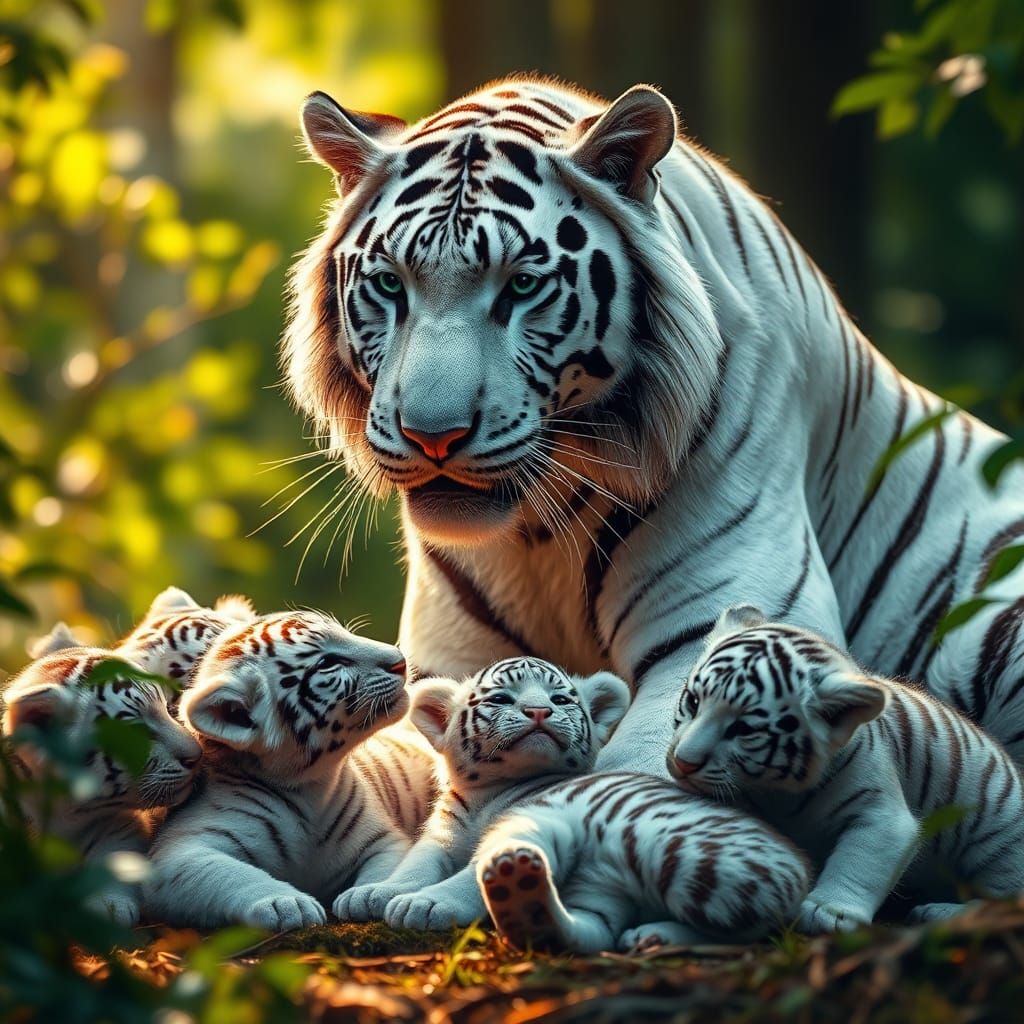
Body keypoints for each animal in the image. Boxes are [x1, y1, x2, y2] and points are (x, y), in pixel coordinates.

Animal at [2, 625, 202, 925]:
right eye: (136, 733)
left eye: (167, 708)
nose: (198, 755)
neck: (61, 809)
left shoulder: (118, 825)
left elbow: (116, 859)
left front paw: (110, 906)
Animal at [142, 610, 436, 931]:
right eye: (327, 663)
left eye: (345, 632)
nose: (400, 661)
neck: (309, 787)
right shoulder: (180, 849)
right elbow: (232, 875)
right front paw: (284, 904)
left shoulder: (383, 840)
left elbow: (389, 867)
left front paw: (367, 896)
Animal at [283, 74, 1024, 779]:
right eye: (390, 284)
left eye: (521, 286)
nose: (432, 436)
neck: (534, 536)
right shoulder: (446, 659)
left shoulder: (716, 632)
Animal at [333, 656, 631, 930]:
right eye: (501, 698)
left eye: (559, 699)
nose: (538, 710)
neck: (489, 793)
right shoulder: (443, 835)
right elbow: (417, 864)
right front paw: (375, 892)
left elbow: (476, 873)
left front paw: (425, 903)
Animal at [667, 605, 1024, 933]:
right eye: (694, 702)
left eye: (742, 729)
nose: (683, 761)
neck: (779, 792)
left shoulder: (883, 815)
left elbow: (861, 859)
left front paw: (828, 911)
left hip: (1002, 845)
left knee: (1004, 901)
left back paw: (938, 912)